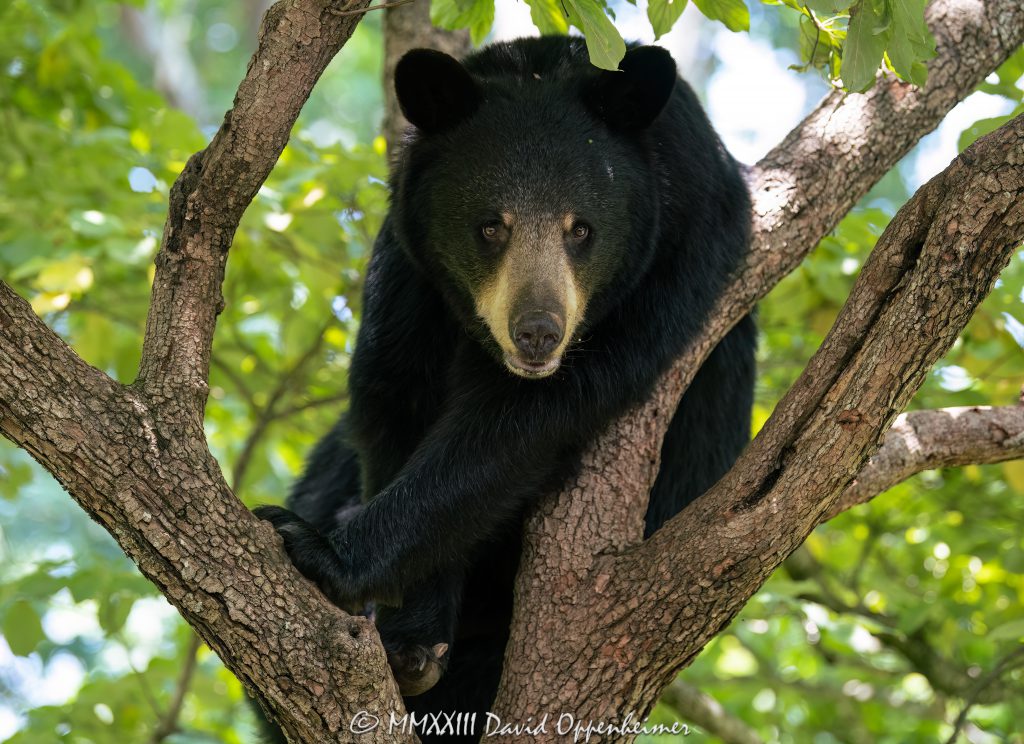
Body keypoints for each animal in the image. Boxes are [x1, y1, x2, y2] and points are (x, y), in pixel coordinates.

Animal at [254, 35, 755, 742]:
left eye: (582, 228)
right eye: (491, 226)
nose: (538, 332)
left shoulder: (672, 262)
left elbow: (518, 426)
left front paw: (324, 551)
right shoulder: (412, 272)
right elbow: (394, 402)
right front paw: (412, 639)